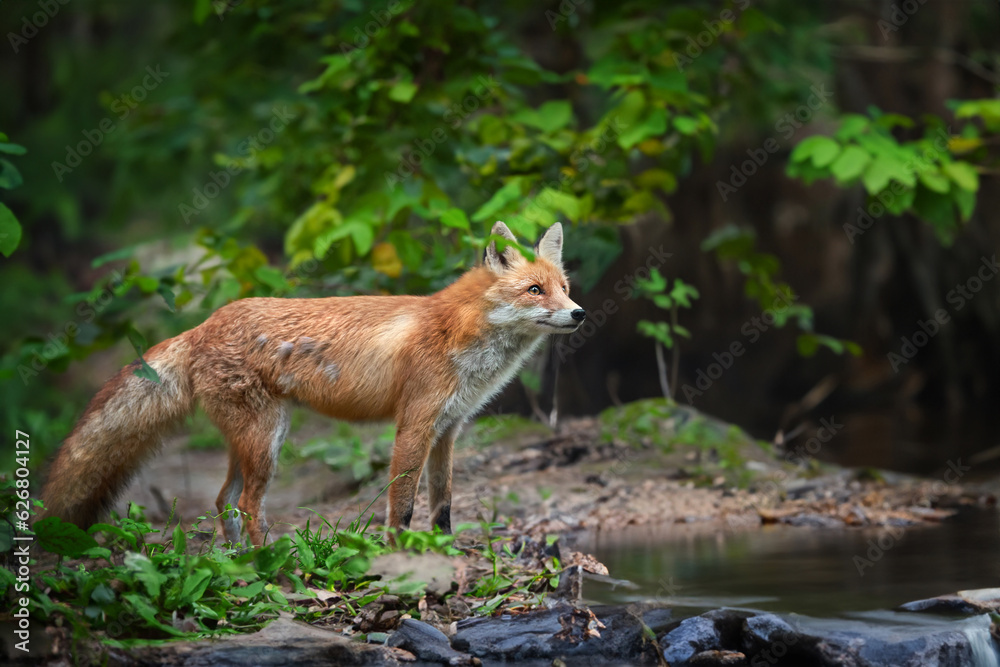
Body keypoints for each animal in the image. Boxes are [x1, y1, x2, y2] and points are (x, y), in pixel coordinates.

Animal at [41, 222, 584, 544]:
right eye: (534, 290)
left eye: (563, 288)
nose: (579, 314)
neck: (459, 334)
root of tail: (204, 324)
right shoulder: (414, 426)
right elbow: (402, 509)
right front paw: (403, 560)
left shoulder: (448, 431)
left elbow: (443, 508)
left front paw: (445, 558)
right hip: (266, 441)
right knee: (248, 504)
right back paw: (265, 568)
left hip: (254, 440)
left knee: (223, 501)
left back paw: (237, 566)